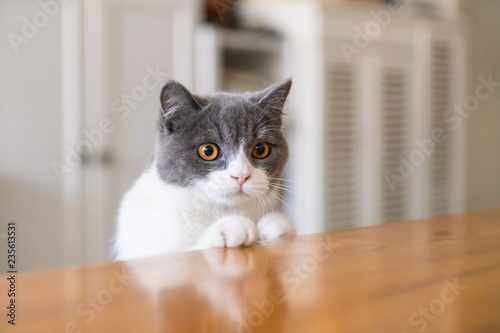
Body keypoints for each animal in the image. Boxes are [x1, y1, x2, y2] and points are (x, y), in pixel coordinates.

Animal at [111, 78, 294, 260]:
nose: (241, 175)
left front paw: (274, 225)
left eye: (260, 149)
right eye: (208, 151)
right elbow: (180, 254)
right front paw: (230, 227)